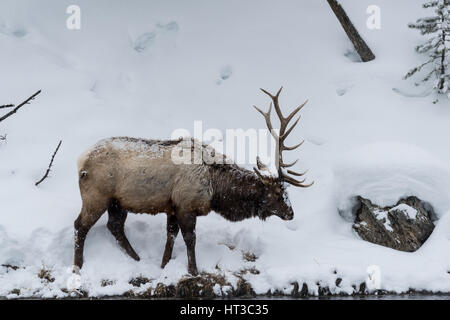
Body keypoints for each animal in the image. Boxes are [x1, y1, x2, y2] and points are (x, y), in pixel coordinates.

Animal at [74, 87, 312, 276]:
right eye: (278, 193)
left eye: (287, 192)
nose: (291, 213)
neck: (216, 190)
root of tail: (81, 161)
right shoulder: (186, 205)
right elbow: (190, 238)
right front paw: (193, 270)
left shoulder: (172, 206)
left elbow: (170, 236)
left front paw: (164, 265)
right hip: (96, 196)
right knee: (81, 225)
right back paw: (78, 266)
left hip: (117, 202)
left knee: (115, 226)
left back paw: (136, 258)